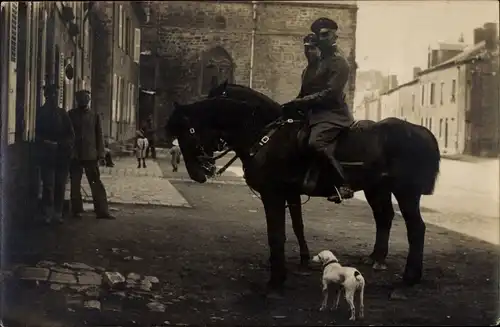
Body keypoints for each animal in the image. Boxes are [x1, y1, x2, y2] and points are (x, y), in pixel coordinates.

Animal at [166, 83, 440, 298]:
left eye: (188, 131)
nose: (198, 173)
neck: (265, 134)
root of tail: (421, 132)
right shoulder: (291, 194)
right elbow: (297, 226)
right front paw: (302, 260)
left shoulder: (273, 195)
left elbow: (276, 235)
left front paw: (276, 280)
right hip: (378, 190)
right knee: (385, 218)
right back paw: (377, 258)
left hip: (406, 192)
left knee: (416, 229)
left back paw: (409, 278)